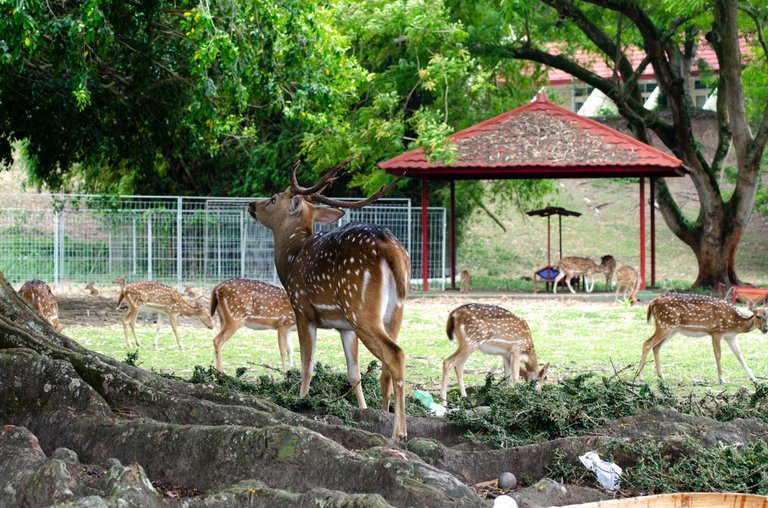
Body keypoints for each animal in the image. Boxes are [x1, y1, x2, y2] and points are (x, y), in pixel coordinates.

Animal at [249, 162, 412, 440]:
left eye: (273, 198)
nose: (251, 205)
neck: (291, 258)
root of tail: (390, 247)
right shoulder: (344, 327)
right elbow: (353, 372)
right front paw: (362, 409)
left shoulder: (302, 310)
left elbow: (307, 364)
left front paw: (300, 401)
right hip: (394, 309)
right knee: (386, 367)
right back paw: (384, 415)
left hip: (360, 307)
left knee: (396, 354)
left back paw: (398, 433)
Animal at [636, 294, 768, 384]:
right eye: (758, 316)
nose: (765, 329)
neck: (735, 324)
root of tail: (653, 302)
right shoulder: (716, 332)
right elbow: (718, 354)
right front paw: (721, 379)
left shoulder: (730, 337)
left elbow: (739, 355)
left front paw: (753, 378)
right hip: (665, 325)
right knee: (647, 343)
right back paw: (641, 377)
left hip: (671, 329)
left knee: (656, 347)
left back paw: (661, 376)